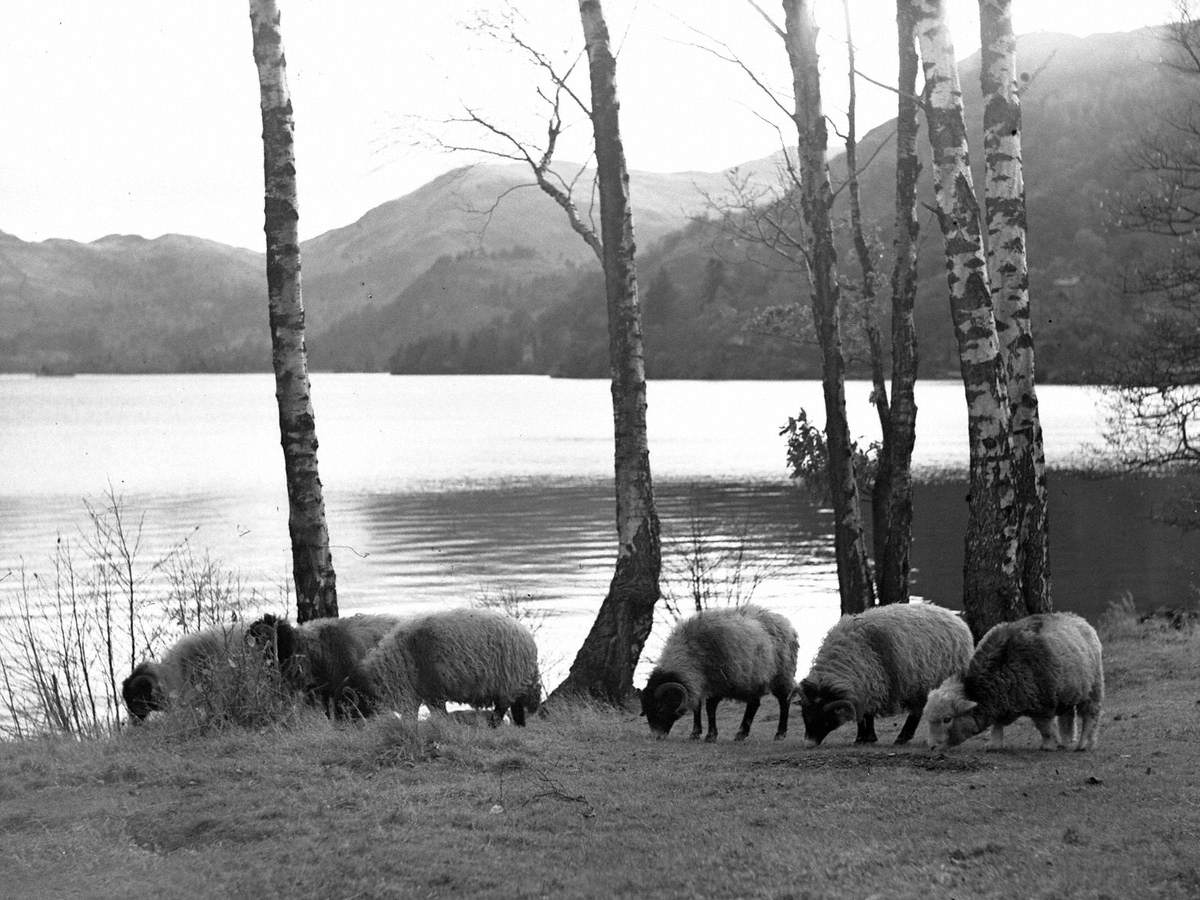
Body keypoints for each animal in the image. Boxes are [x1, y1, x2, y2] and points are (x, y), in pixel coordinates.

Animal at [350, 609, 542, 729]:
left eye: (352, 702)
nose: (347, 730)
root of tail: (528, 640)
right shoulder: (422, 694)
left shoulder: (432, 694)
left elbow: (437, 715)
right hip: (514, 684)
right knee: (516, 709)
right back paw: (518, 727)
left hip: (508, 683)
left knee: (502, 709)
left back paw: (493, 726)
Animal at [638, 602, 796, 744]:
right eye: (646, 709)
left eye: (660, 708)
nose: (656, 737)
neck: (690, 652)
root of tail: (785, 623)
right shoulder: (698, 682)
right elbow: (697, 707)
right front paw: (695, 734)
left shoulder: (718, 681)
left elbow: (710, 708)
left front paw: (710, 736)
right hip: (753, 678)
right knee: (754, 704)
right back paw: (741, 734)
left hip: (781, 675)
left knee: (784, 701)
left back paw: (780, 734)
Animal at [796, 607, 974, 748]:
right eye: (805, 716)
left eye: (825, 719)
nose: (808, 744)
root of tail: (956, 619)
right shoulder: (864, 687)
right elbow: (864, 715)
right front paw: (863, 738)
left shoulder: (872, 683)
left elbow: (866, 714)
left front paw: (866, 737)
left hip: (924, 683)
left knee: (916, 712)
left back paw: (902, 738)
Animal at [926, 614, 1104, 753]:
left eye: (947, 719)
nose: (932, 747)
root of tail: (1079, 619)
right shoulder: (999, 703)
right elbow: (997, 725)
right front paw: (994, 744)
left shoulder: (1042, 704)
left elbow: (1045, 728)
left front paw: (1048, 745)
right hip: (1067, 691)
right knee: (1067, 716)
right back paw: (1066, 742)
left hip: (1094, 687)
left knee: (1091, 715)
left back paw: (1084, 744)